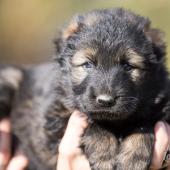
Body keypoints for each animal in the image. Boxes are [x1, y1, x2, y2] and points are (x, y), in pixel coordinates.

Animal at [0, 7, 170, 170]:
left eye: (128, 66)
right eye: (88, 64)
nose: (105, 101)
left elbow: (143, 125)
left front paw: (134, 158)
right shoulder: (55, 120)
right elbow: (92, 123)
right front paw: (103, 155)